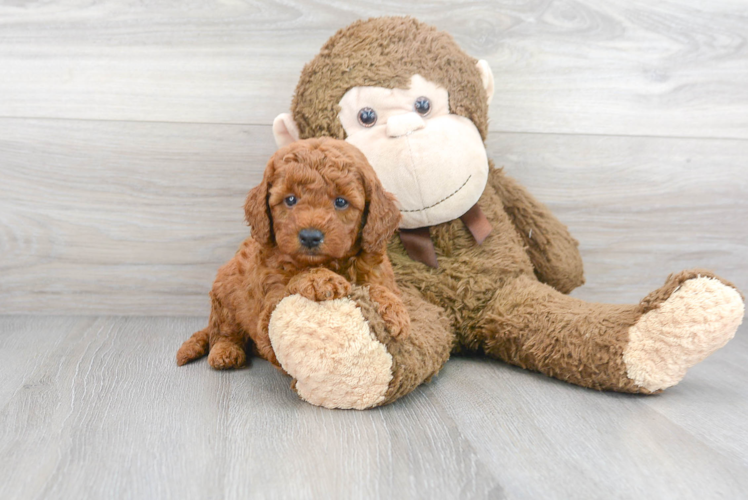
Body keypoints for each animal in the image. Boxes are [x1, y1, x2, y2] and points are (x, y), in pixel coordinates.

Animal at [176, 137, 410, 372]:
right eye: (290, 200)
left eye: (341, 202)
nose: (310, 236)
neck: (332, 262)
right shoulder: (270, 301)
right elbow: (289, 289)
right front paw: (319, 279)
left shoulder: (376, 271)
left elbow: (376, 287)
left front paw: (394, 309)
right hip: (225, 297)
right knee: (223, 332)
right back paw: (225, 352)